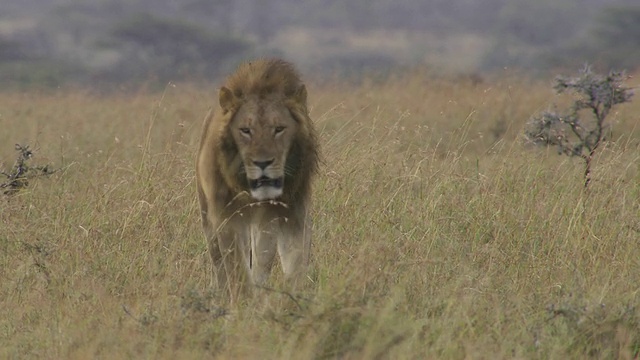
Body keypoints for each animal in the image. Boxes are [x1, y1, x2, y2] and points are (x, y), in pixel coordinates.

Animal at [194, 59, 316, 300]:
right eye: (245, 130)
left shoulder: (285, 215)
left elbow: (283, 262)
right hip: (208, 218)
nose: (262, 163)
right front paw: (243, 300)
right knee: (218, 261)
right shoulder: (227, 217)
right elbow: (236, 267)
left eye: (279, 129)